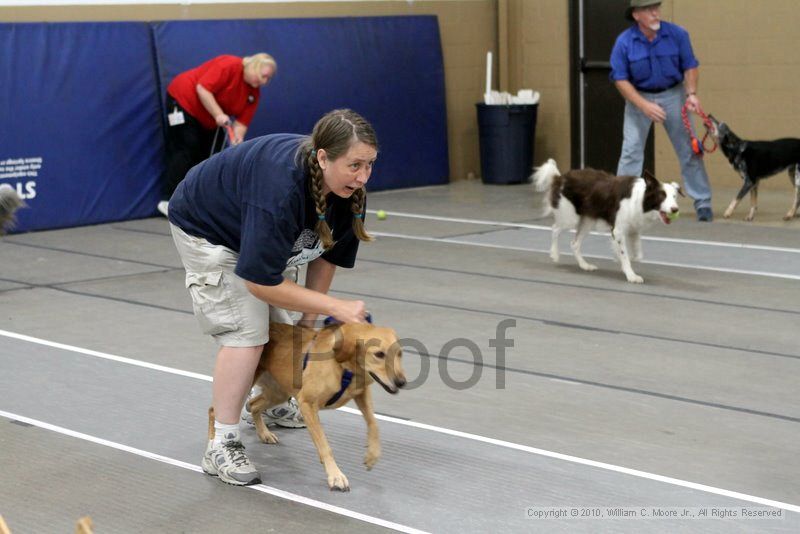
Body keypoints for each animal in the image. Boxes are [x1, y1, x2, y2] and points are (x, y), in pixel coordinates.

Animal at [244, 322, 406, 494]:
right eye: (379, 354)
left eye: (400, 353)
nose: (401, 382)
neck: (344, 367)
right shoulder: (307, 404)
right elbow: (324, 445)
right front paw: (336, 476)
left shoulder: (362, 393)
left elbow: (374, 424)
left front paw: (372, 455)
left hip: (278, 393)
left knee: (253, 404)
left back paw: (264, 433)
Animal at [536, 159, 684, 284]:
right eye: (661, 196)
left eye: (674, 197)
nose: (675, 209)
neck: (640, 199)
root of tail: (560, 178)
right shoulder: (618, 231)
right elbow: (625, 255)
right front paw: (631, 275)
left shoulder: (634, 230)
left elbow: (636, 255)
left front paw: (623, 261)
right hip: (570, 218)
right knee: (555, 229)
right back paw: (555, 254)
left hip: (587, 221)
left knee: (574, 243)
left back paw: (585, 265)